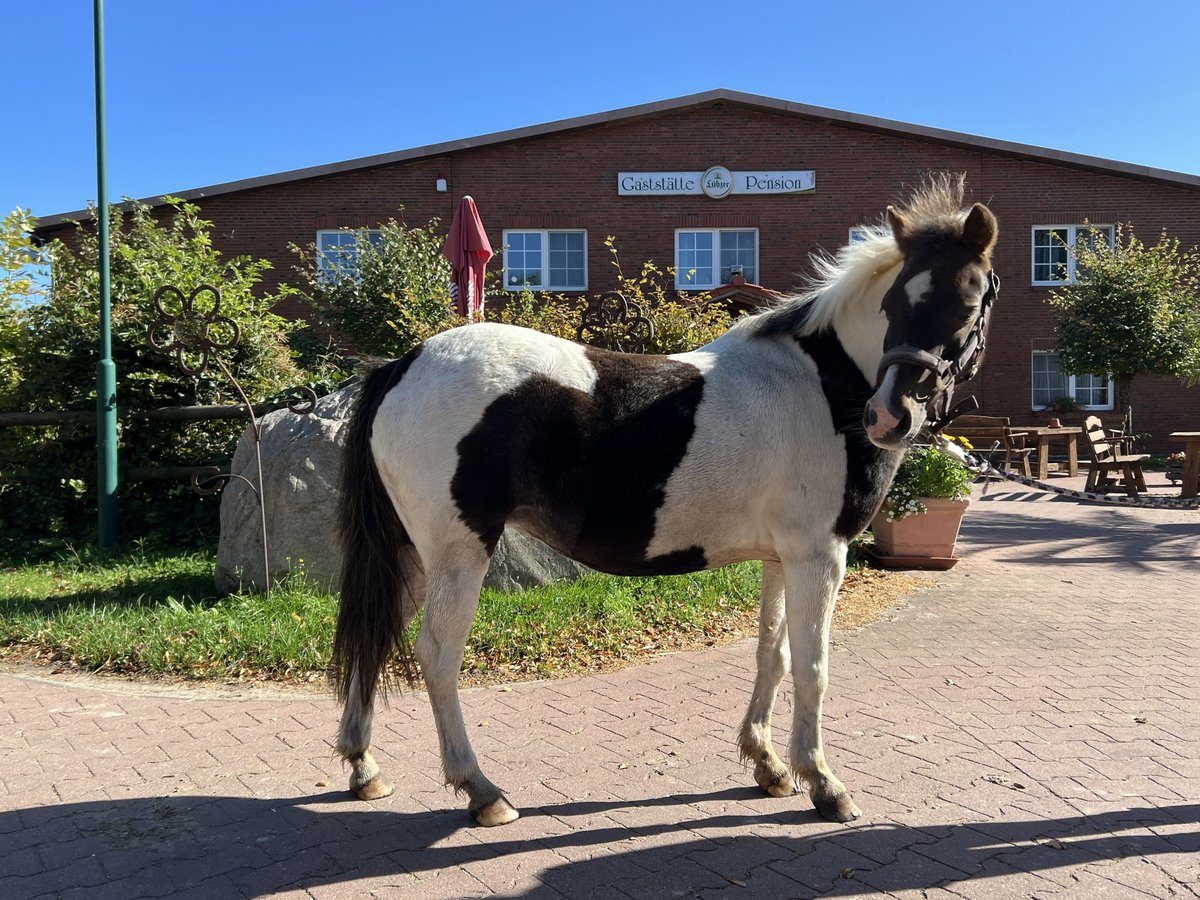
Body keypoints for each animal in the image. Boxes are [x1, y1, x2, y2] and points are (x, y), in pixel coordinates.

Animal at [333, 177, 998, 830]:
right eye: (892, 306)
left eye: (968, 302)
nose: (890, 416)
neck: (822, 385)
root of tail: (404, 364)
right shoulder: (819, 554)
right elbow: (813, 667)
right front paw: (824, 784)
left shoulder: (783, 557)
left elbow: (774, 654)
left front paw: (768, 764)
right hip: (458, 550)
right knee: (437, 654)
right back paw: (481, 790)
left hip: (412, 552)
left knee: (377, 635)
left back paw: (364, 768)